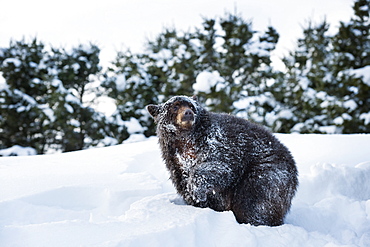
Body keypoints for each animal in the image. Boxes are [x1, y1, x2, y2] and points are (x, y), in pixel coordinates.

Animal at [146, 95, 300, 226]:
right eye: (175, 106)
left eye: (191, 105)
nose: (188, 113)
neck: (186, 139)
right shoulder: (174, 161)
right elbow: (184, 182)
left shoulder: (219, 143)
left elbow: (221, 167)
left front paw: (196, 190)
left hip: (267, 171)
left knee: (255, 201)